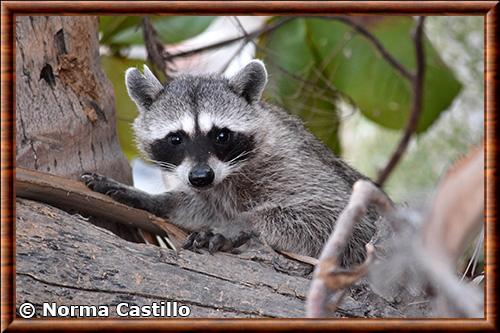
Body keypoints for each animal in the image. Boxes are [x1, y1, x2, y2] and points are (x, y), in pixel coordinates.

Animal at [82, 59, 378, 266]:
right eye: (176, 138)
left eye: (221, 135)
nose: (200, 177)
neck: (228, 175)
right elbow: (200, 207)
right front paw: (153, 199)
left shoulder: (291, 162)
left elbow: (337, 218)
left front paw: (238, 224)